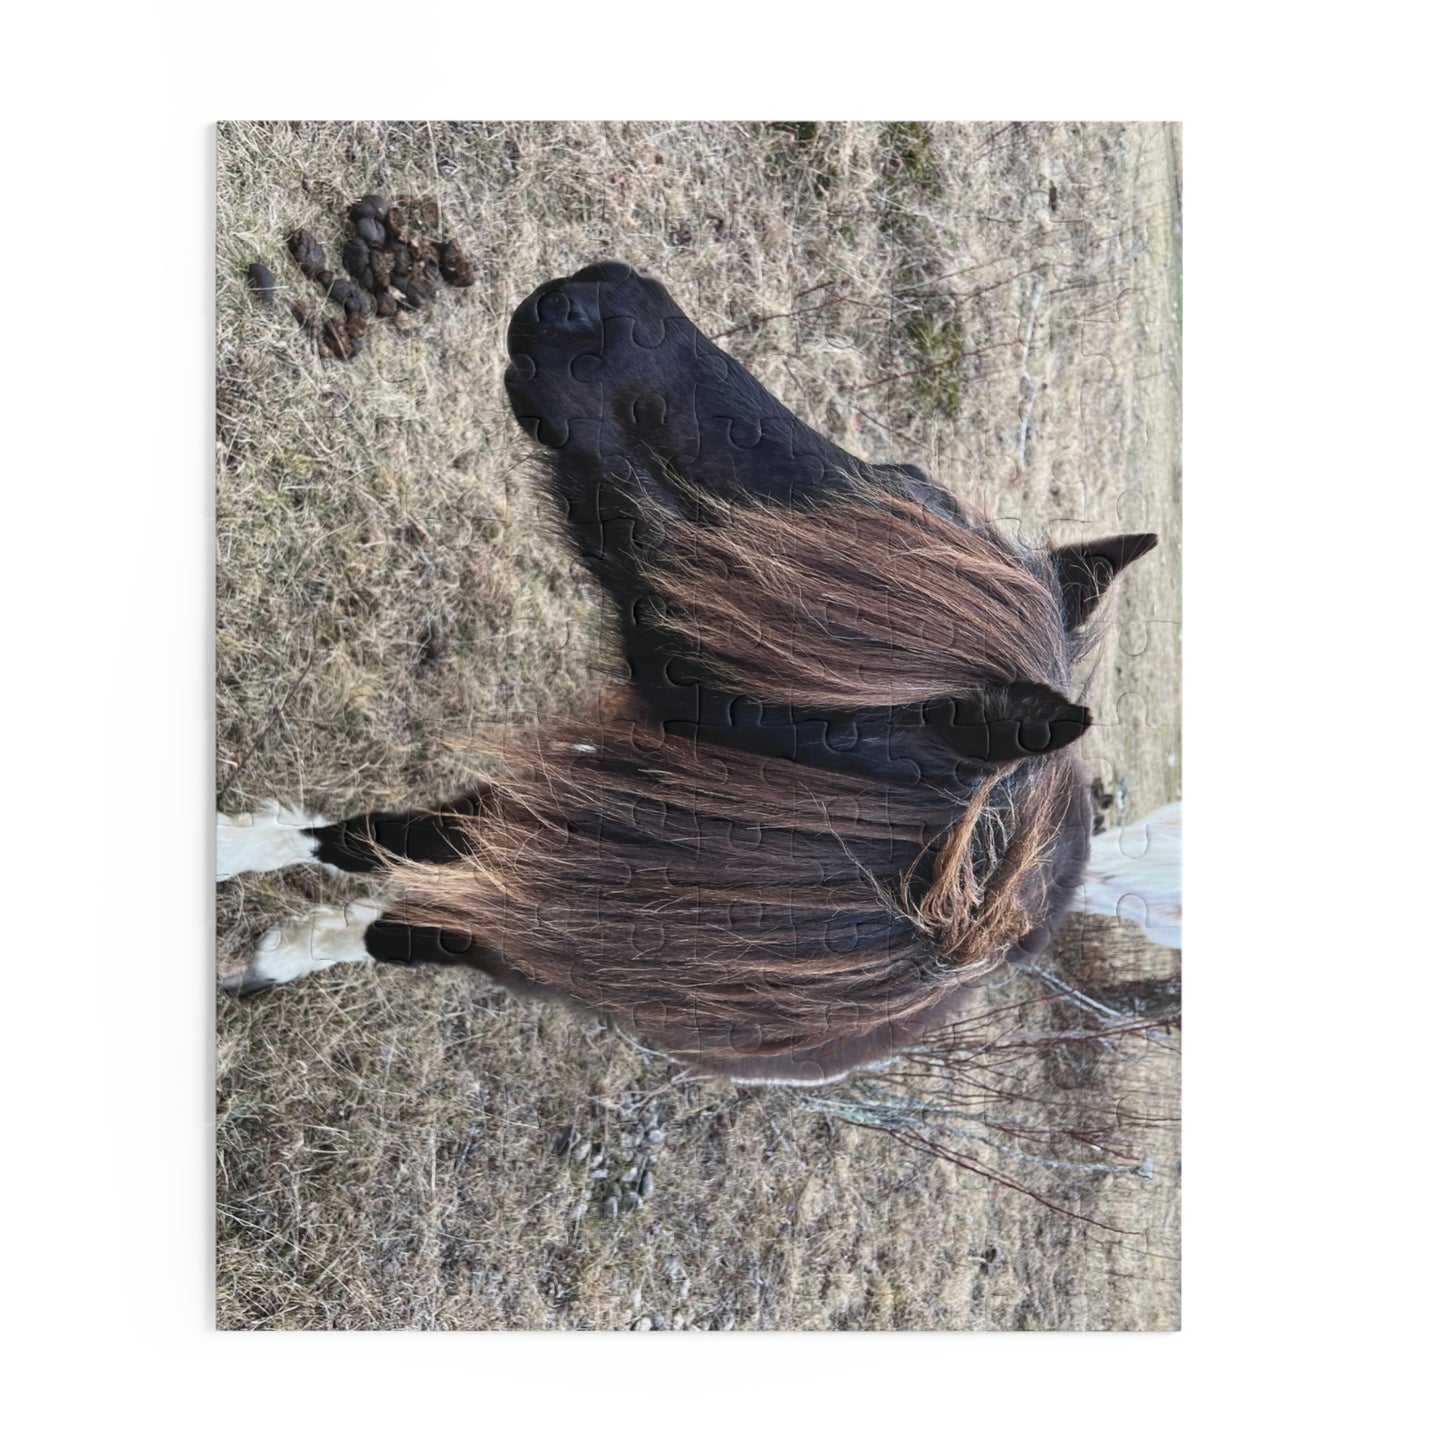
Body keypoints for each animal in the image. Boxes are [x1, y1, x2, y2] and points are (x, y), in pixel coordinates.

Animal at [217, 261, 1162, 1087]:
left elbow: (398, 920)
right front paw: (236, 851)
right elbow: (359, 834)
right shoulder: (556, 804)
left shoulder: (525, 929)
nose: (596, 297)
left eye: (797, 610)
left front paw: (277, 952)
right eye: (894, 470)